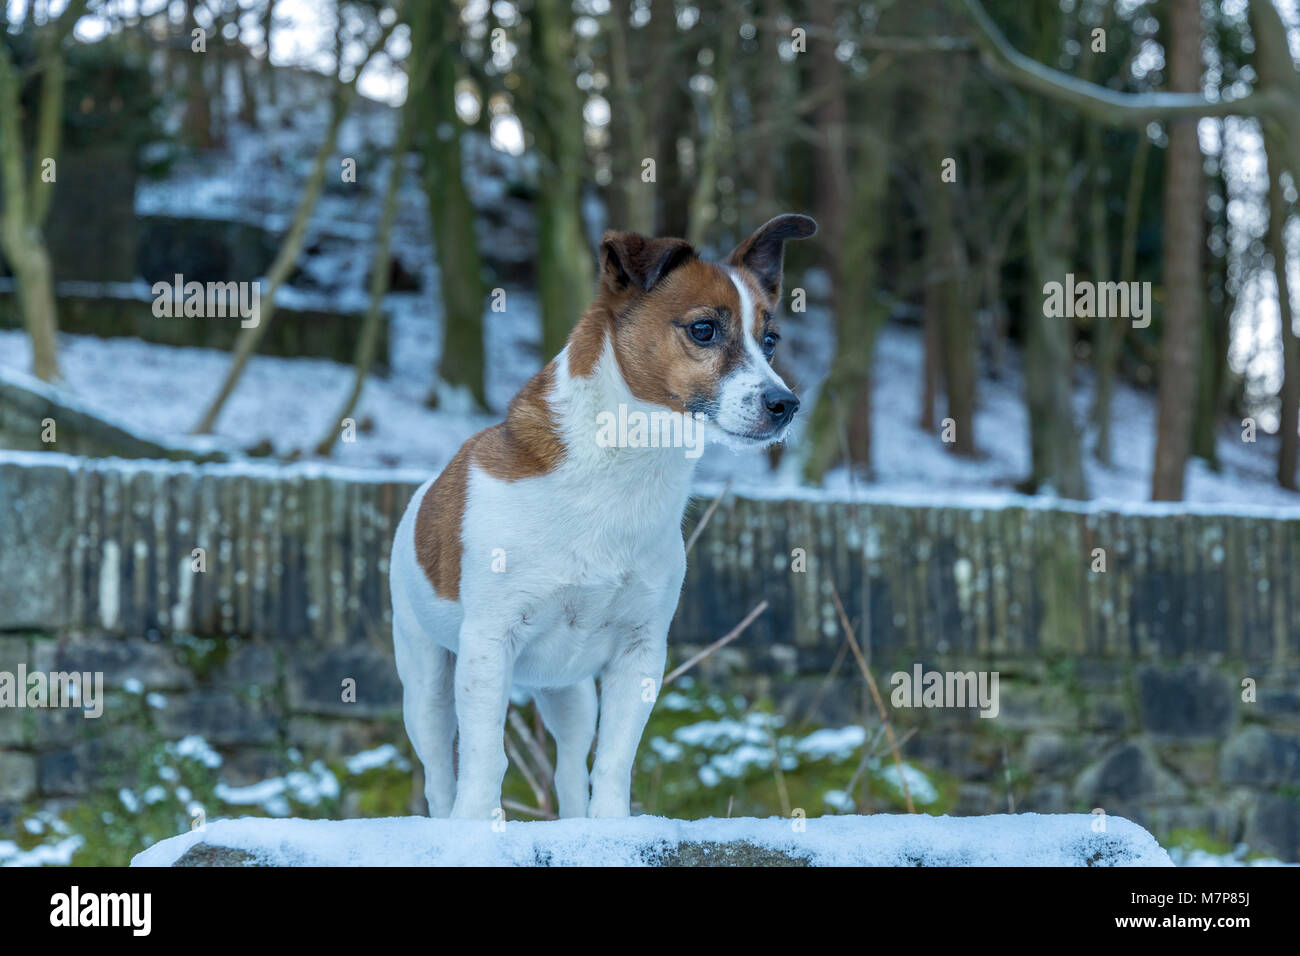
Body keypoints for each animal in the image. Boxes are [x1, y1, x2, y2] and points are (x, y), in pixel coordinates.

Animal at [387, 213, 811, 816]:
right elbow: (484, 760)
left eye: (769, 341)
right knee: (439, 772)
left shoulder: (639, 653)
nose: (785, 405)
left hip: (569, 692)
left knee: (569, 767)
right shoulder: (488, 646)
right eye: (704, 330)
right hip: (426, 682)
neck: (621, 469)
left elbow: (612, 763)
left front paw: (608, 826)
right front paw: (475, 825)